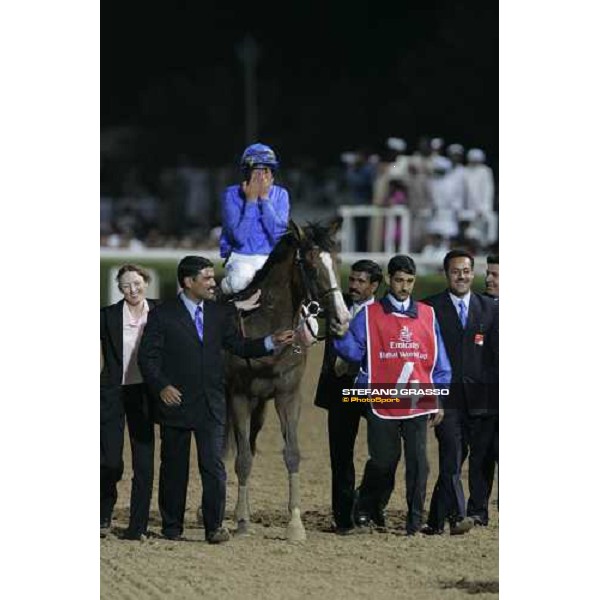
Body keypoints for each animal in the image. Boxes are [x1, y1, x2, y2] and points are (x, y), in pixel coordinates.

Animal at [223, 218, 350, 540]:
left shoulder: (288, 395)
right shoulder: (239, 397)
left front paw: (295, 524)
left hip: (260, 407)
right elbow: (242, 460)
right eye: (311, 266)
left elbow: (291, 453)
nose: (342, 319)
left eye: (337, 262)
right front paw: (242, 522)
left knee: (249, 443)